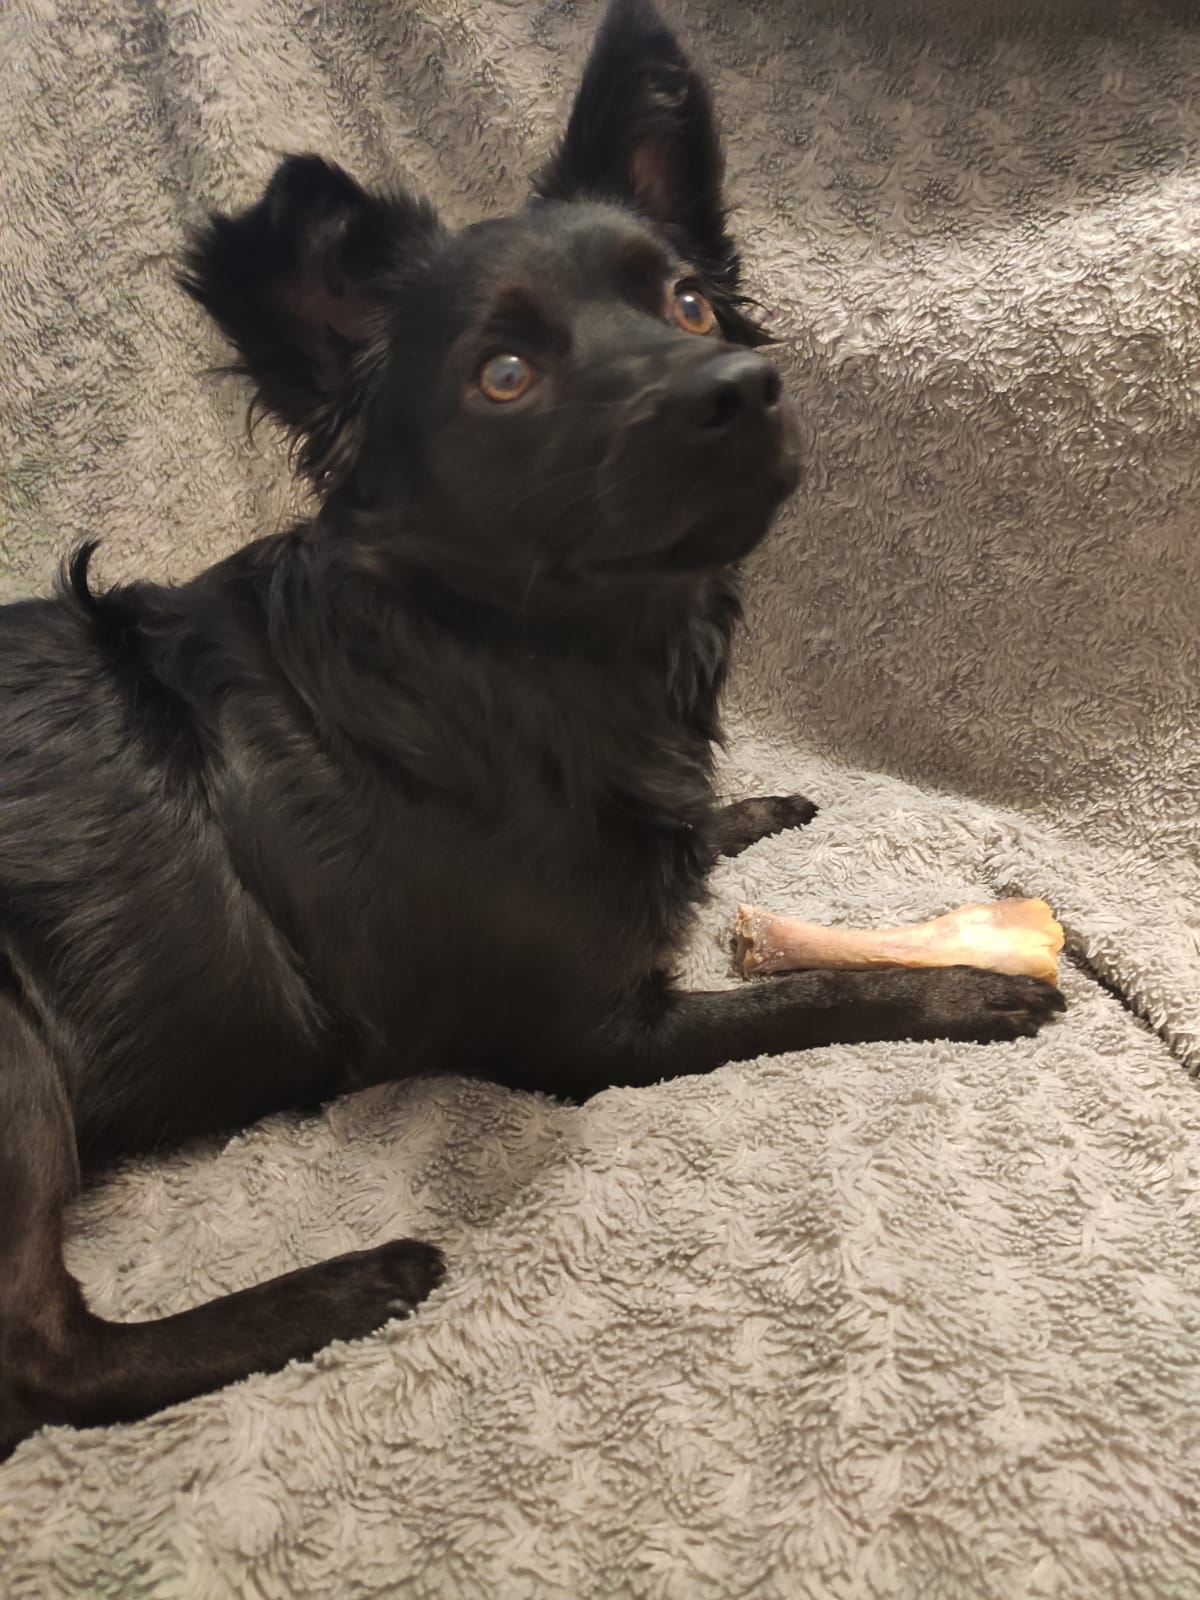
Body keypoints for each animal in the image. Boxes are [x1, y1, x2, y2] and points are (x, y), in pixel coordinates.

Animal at [0, 0, 1064, 1458]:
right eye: (502, 375)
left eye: (687, 300)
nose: (743, 385)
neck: (525, 665)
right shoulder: (591, 1040)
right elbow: (816, 990)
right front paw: (969, 986)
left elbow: (705, 839)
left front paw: (749, 809)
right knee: (45, 1360)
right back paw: (356, 1284)